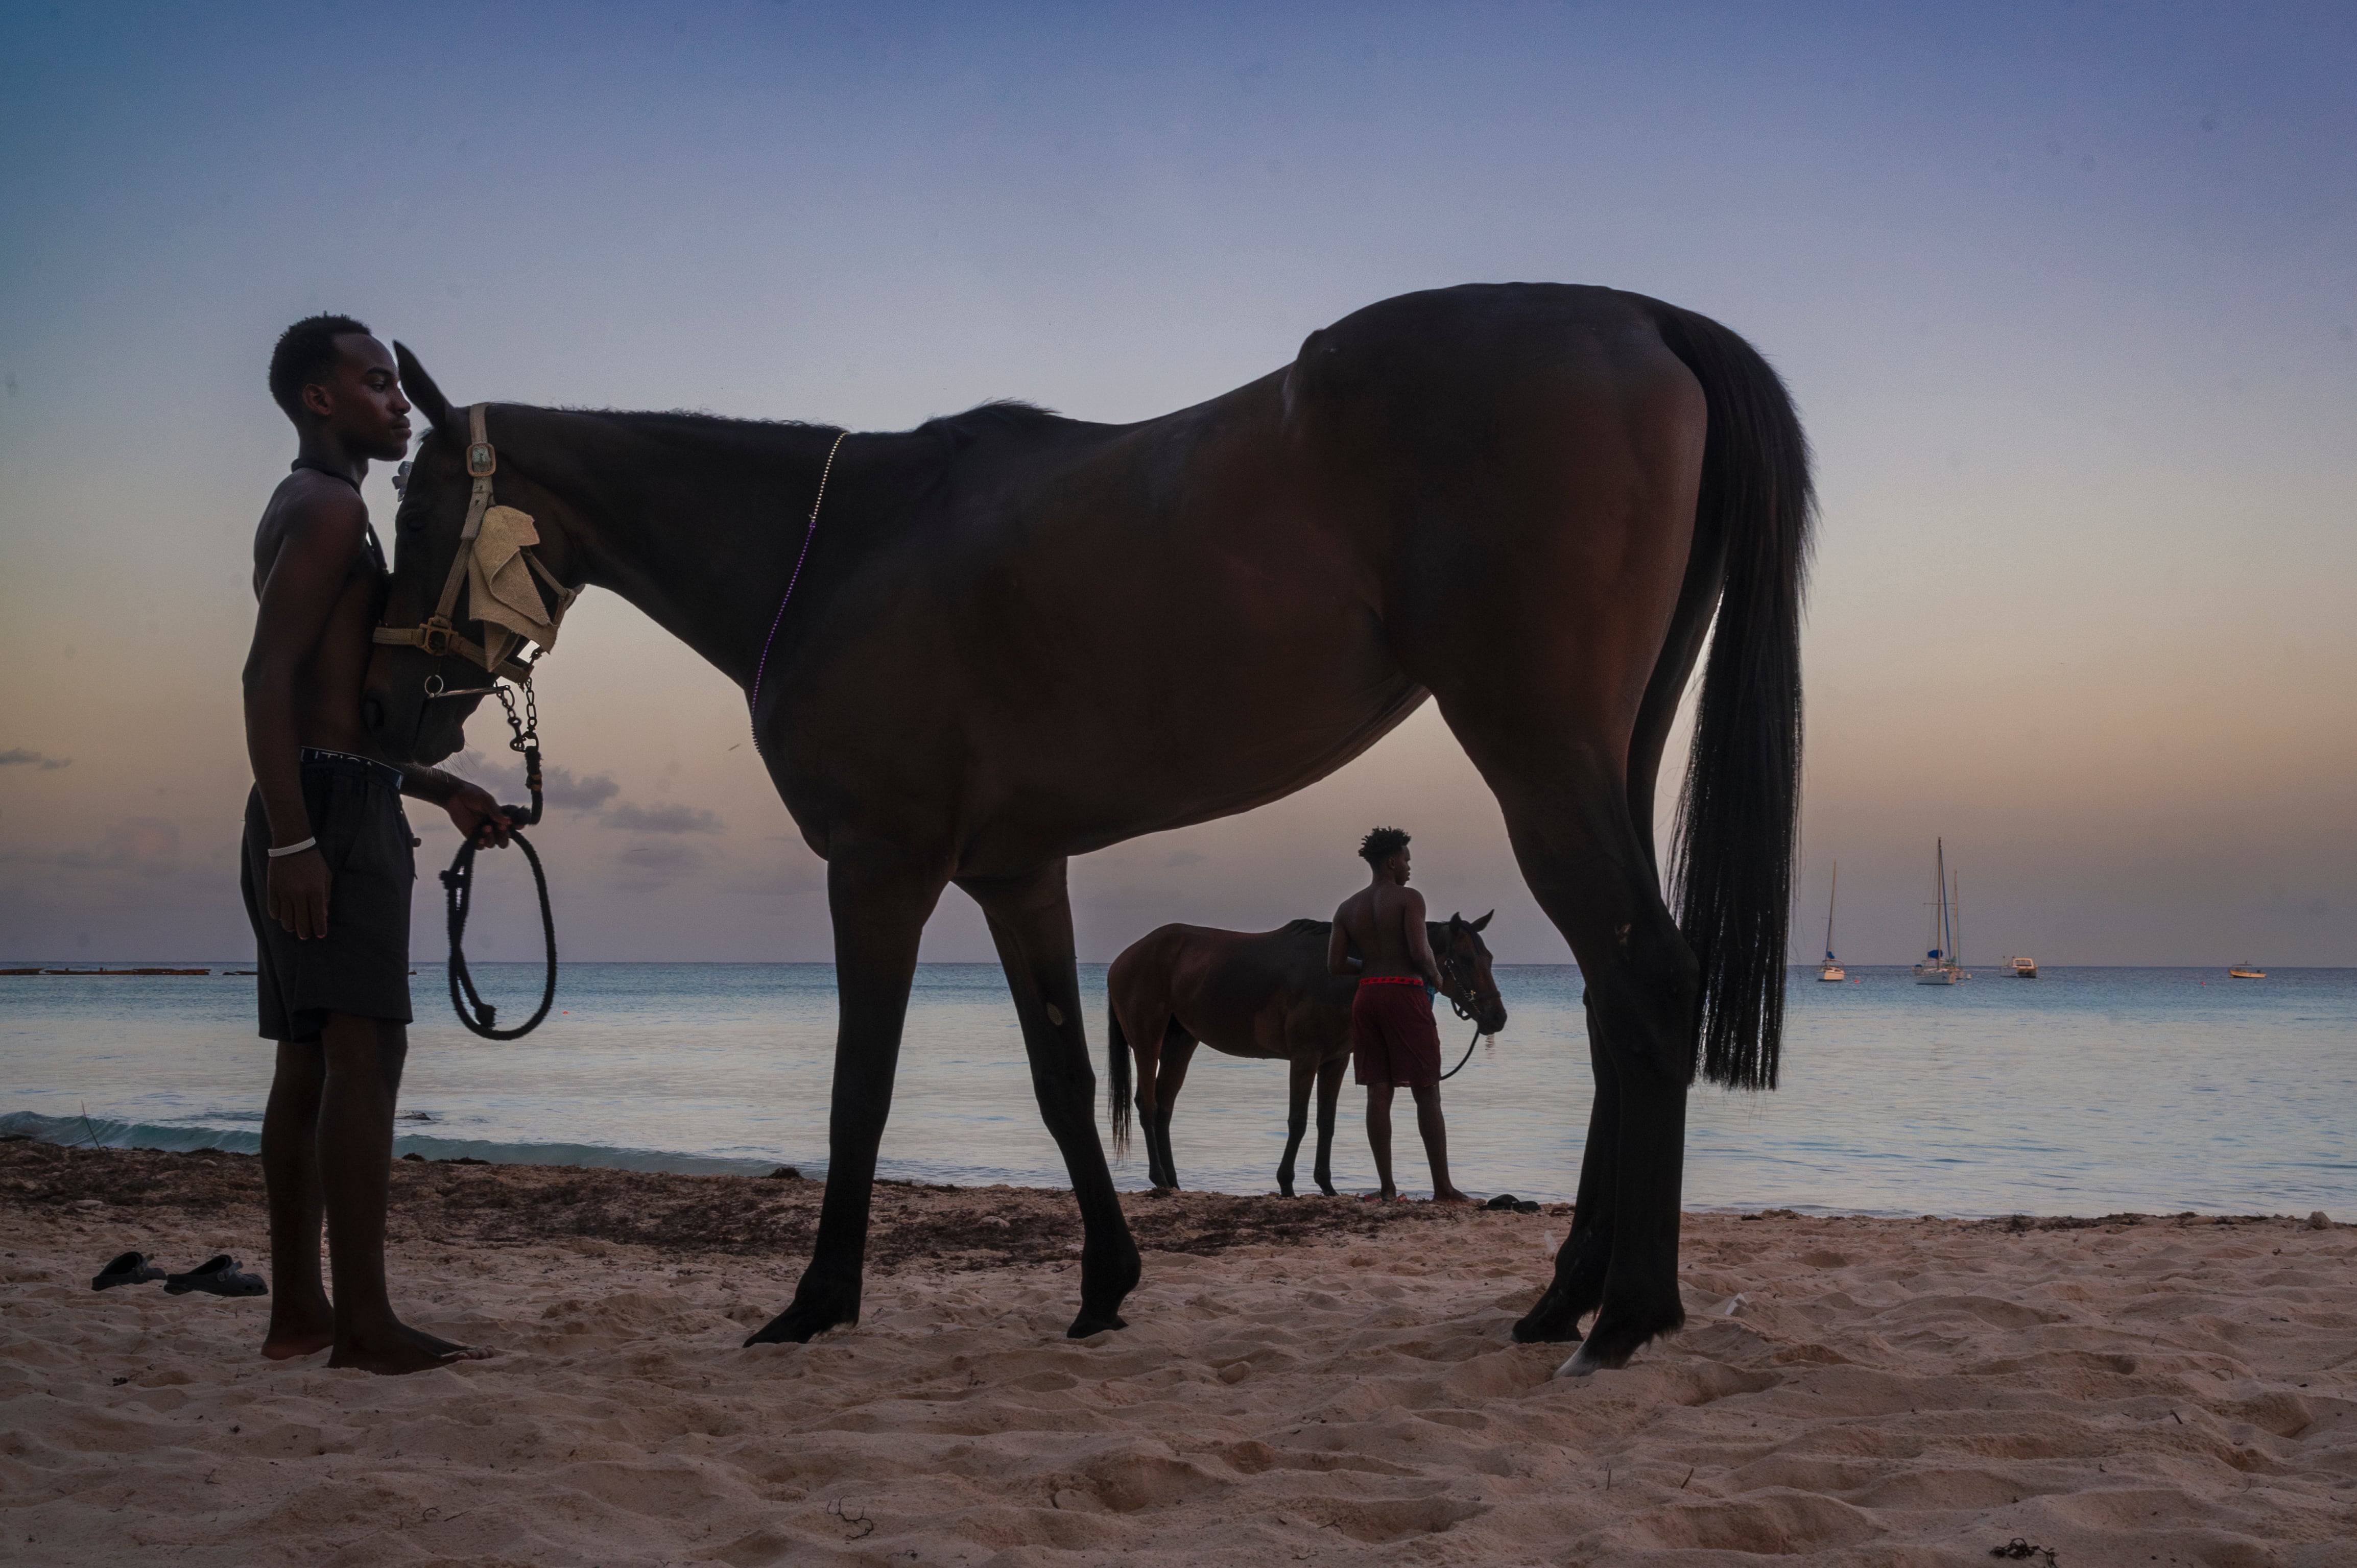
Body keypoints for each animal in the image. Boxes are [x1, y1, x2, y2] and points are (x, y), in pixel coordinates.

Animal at [1106, 913, 1507, 1197]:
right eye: (1466, 958)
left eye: (1489, 957)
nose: (1497, 1018)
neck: (1340, 975)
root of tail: (1123, 958)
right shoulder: (1304, 1058)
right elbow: (1297, 1121)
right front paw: (1286, 1183)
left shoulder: (1335, 1061)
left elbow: (1326, 1122)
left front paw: (1326, 1186)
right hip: (1148, 1041)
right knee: (1147, 1104)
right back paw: (1159, 1178)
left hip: (1181, 1043)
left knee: (1164, 1107)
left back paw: (1174, 1181)